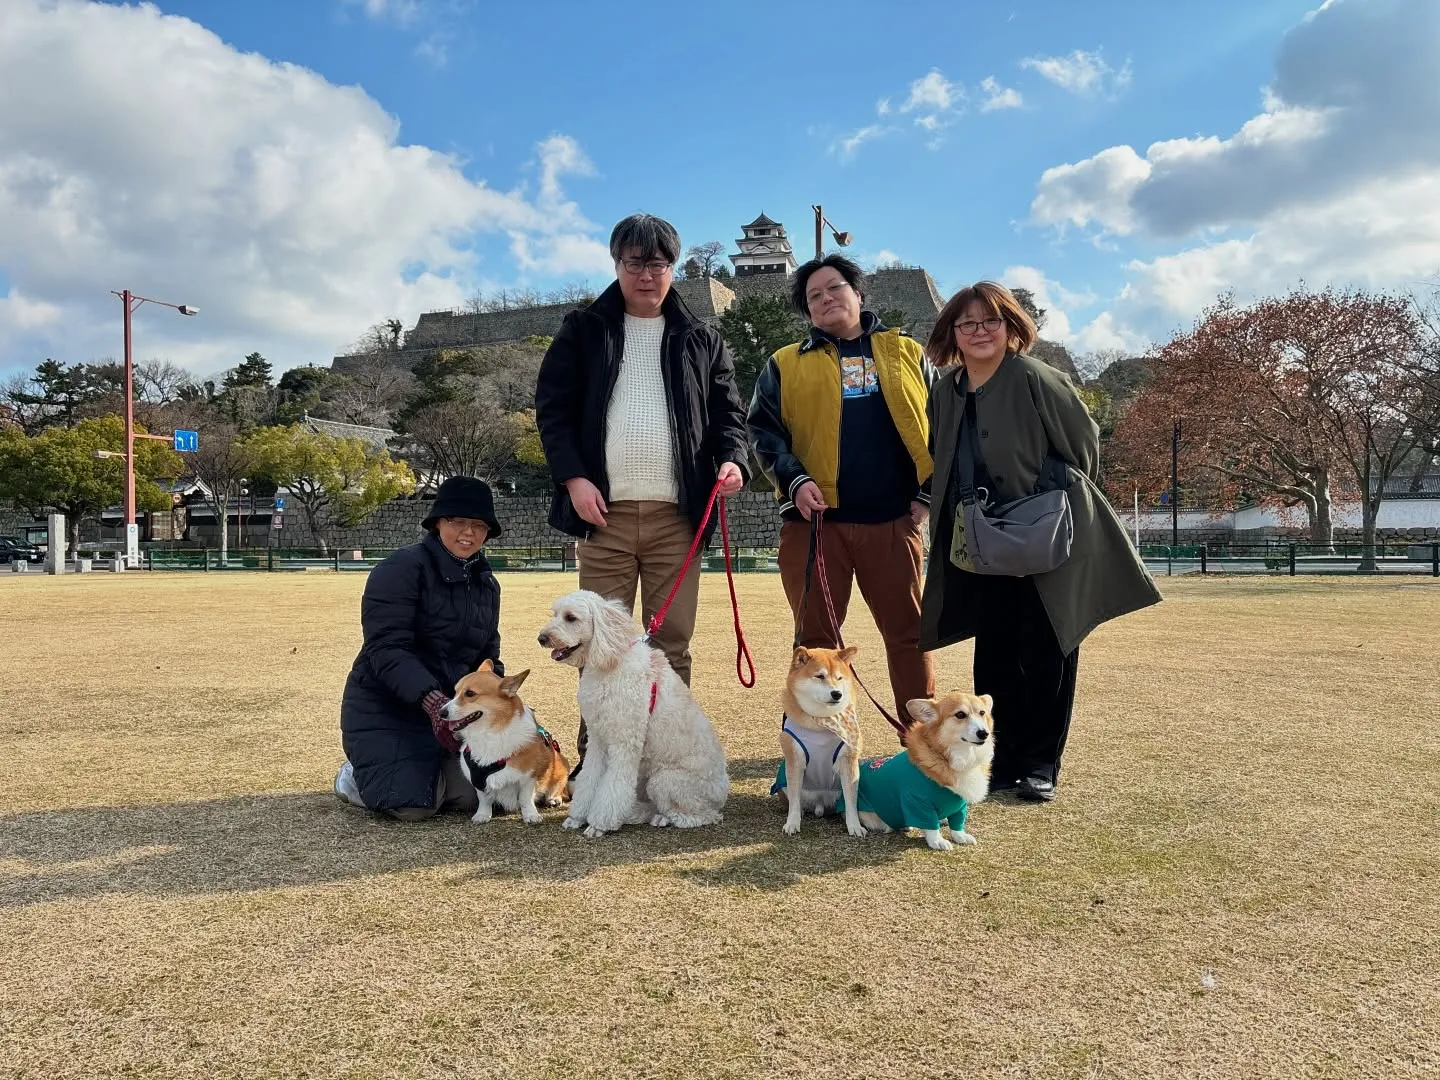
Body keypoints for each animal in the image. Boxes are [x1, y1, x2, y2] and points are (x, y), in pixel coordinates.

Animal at [440, 659, 570, 829]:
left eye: (470, 694)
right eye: (455, 692)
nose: (441, 713)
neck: (490, 733)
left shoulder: (528, 777)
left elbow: (525, 799)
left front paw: (531, 815)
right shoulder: (477, 779)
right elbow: (484, 799)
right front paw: (482, 815)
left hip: (561, 767)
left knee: (559, 787)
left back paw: (554, 799)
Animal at [777, 648, 864, 840]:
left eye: (839, 678)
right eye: (819, 676)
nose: (837, 693)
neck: (820, 723)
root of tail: (820, 803)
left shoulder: (849, 761)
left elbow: (851, 800)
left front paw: (854, 826)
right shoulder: (794, 762)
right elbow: (794, 799)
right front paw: (792, 823)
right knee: (796, 800)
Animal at [846, 694, 996, 852]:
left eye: (982, 713)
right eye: (960, 714)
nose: (984, 733)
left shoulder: (959, 804)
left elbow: (957, 823)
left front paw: (961, 836)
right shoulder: (918, 801)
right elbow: (930, 825)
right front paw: (937, 841)